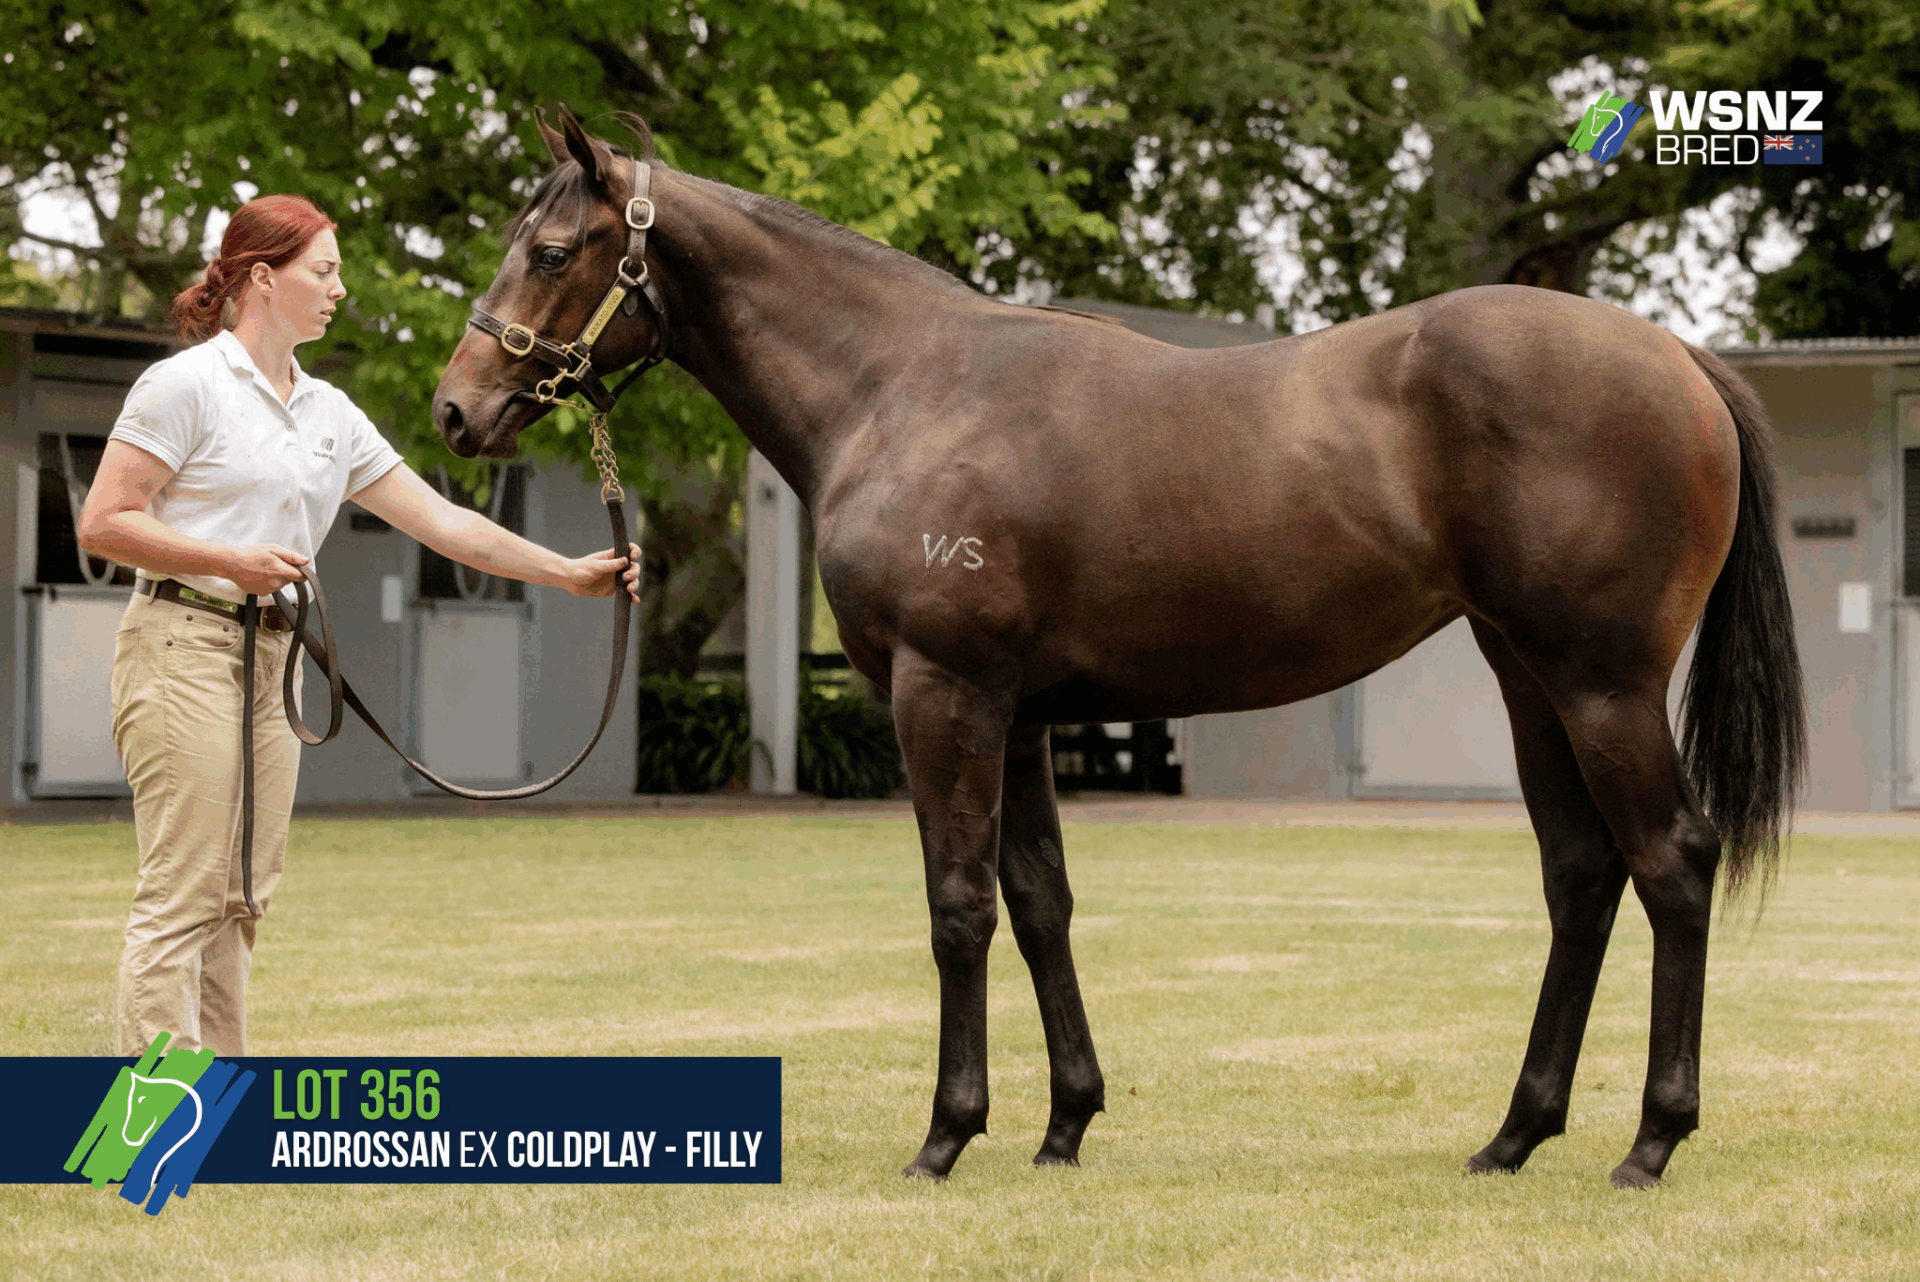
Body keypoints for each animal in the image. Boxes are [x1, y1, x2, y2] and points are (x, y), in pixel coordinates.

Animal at [432, 106, 1805, 1190]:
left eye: (550, 251)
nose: (457, 409)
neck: (903, 387)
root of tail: (1677, 356)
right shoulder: (1023, 714)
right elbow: (1042, 903)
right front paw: (1063, 1125)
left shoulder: (945, 696)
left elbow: (959, 906)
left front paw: (946, 1134)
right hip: (1530, 679)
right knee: (1582, 874)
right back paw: (1517, 1134)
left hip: (1602, 685)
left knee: (1672, 862)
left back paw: (1651, 1140)